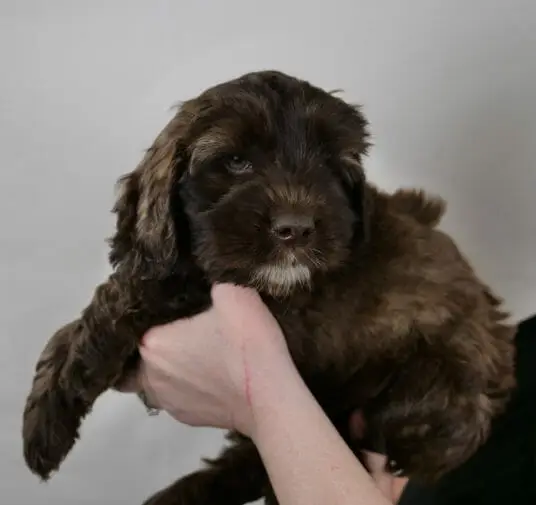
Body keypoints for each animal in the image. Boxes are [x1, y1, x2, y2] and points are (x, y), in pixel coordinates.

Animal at [21, 71, 516, 504]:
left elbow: (127, 295)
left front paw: (47, 422)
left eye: (330, 165)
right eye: (236, 161)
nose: (295, 228)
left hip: (427, 386)